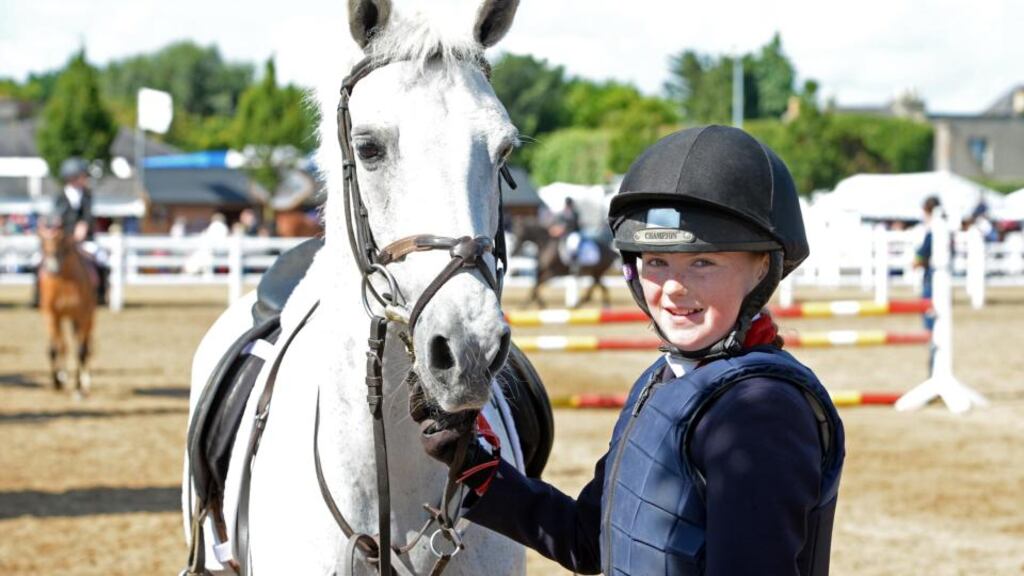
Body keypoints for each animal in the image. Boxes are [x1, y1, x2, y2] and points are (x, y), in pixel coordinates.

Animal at [37, 217, 96, 396]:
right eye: (41, 240)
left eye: (61, 239)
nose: (52, 267)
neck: (64, 283)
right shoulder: (51, 315)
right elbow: (56, 348)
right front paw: (57, 381)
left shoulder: (82, 316)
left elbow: (80, 350)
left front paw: (78, 386)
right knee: (63, 345)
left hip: (89, 318)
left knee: (86, 346)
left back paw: (85, 380)